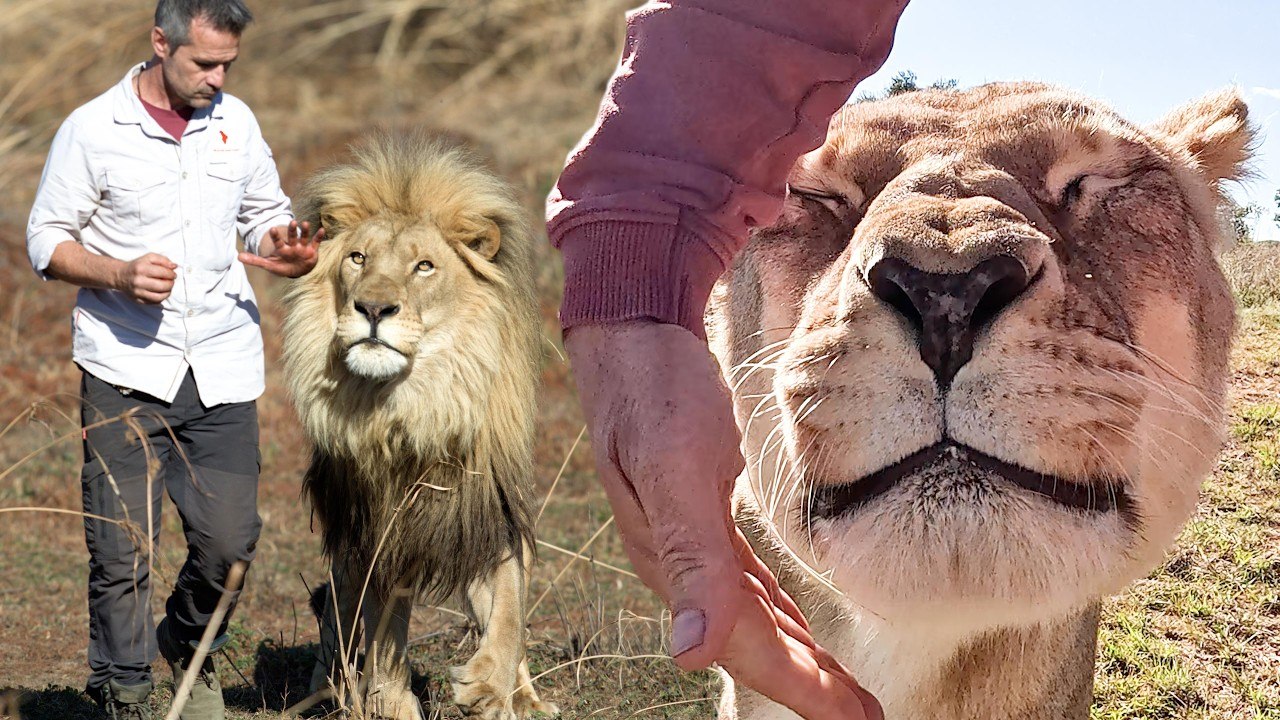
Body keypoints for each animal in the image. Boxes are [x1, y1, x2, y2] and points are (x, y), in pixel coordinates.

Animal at [281, 133, 557, 720]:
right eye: (358, 258)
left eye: (424, 267)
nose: (373, 308)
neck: (418, 406)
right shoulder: (380, 531)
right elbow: (384, 624)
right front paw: (390, 701)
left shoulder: (488, 509)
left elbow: (509, 607)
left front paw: (488, 686)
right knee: (340, 612)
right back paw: (331, 684)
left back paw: (524, 698)